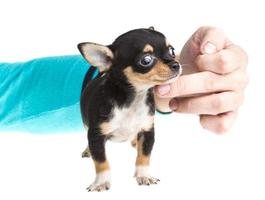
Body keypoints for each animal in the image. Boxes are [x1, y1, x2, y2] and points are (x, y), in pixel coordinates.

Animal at [77, 27, 182, 191]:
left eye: (171, 50)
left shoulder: (147, 131)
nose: (176, 64)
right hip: (86, 124)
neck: (134, 99)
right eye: (146, 60)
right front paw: (101, 182)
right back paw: (88, 150)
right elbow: (101, 161)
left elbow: (144, 157)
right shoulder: (96, 135)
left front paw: (144, 175)